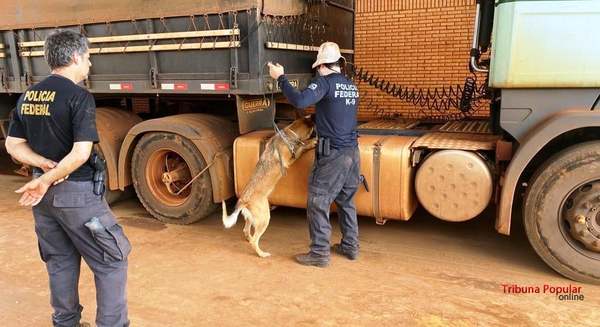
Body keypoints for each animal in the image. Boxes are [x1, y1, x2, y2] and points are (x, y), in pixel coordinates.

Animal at [223, 116, 316, 258]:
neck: (288, 133)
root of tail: (243, 201)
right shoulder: (290, 160)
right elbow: (302, 147)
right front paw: (311, 143)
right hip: (264, 218)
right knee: (255, 240)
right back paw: (261, 253)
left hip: (252, 218)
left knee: (246, 231)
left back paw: (249, 239)